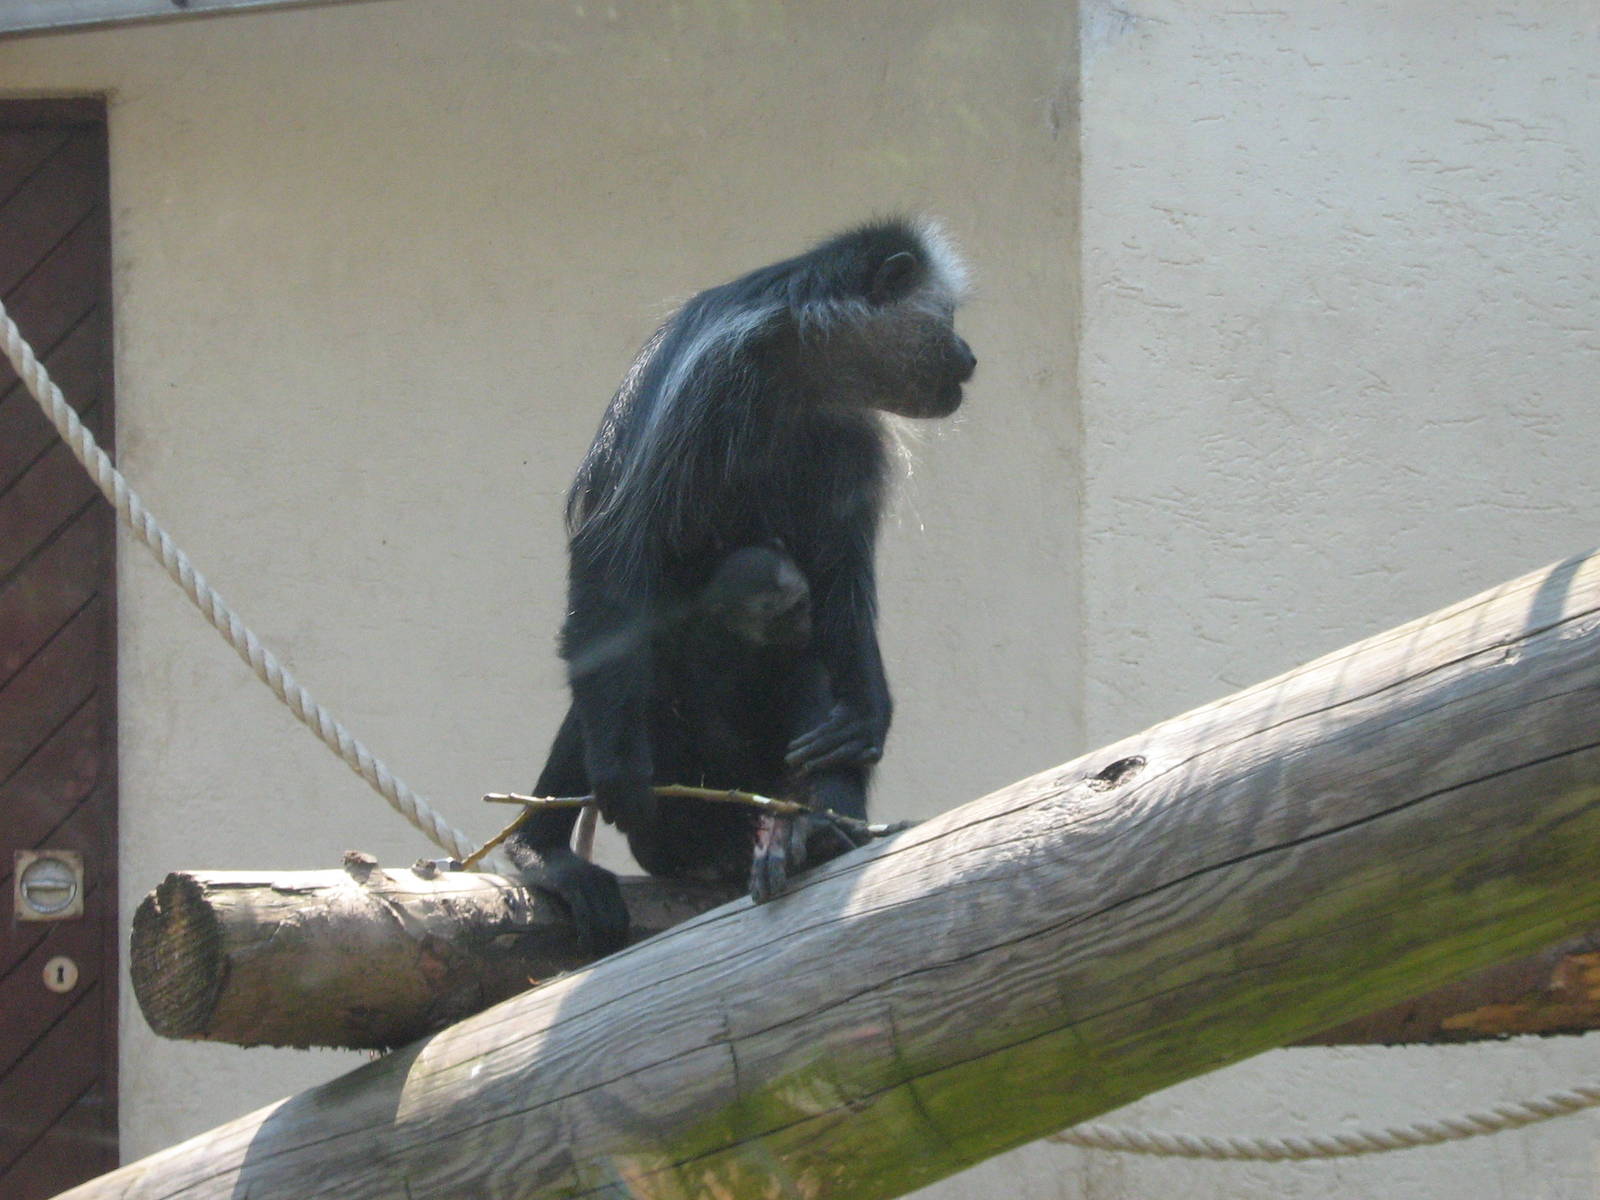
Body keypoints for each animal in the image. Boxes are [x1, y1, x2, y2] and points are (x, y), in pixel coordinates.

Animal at [507, 217, 975, 953]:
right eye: (947, 320)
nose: (969, 355)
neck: (799, 369)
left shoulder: (852, 438)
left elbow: (840, 584)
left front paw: (865, 718)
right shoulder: (702, 388)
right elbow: (614, 556)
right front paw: (616, 774)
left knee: (816, 669)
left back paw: (812, 831)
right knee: (620, 673)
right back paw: (546, 851)